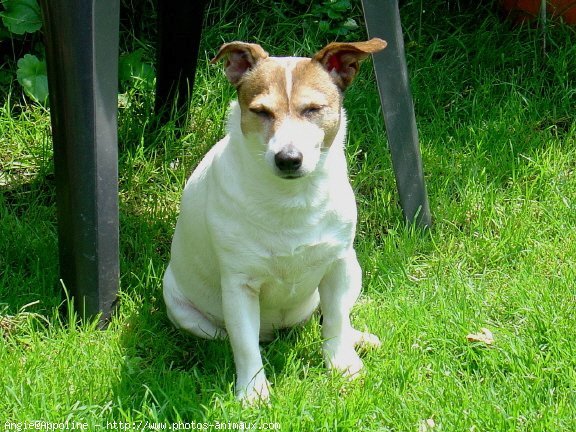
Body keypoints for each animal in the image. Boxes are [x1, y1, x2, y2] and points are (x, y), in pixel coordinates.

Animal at [162, 38, 388, 404]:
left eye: (313, 109)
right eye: (261, 111)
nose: (288, 158)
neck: (290, 199)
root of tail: (280, 330)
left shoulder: (337, 267)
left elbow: (335, 321)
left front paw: (342, 364)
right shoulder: (239, 286)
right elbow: (244, 344)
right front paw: (253, 392)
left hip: (354, 270)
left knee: (330, 317)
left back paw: (357, 339)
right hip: (182, 308)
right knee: (233, 337)